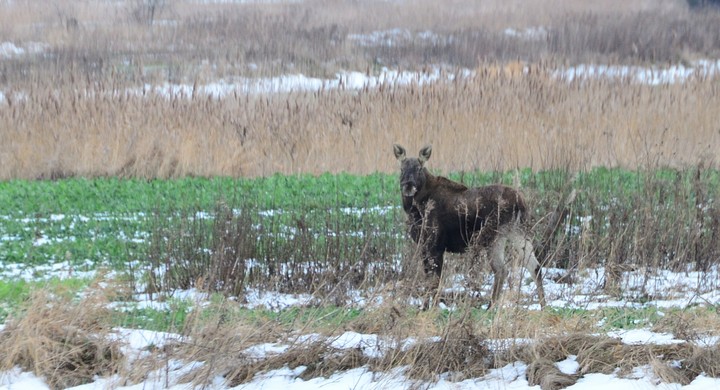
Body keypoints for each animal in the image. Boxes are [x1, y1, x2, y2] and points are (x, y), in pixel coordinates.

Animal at [394, 143, 544, 308]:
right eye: (401, 169)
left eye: (419, 168)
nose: (408, 186)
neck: (415, 209)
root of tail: (521, 202)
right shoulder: (425, 245)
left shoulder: (435, 244)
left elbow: (434, 280)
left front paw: (428, 308)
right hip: (516, 231)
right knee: (532, 267)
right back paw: (540, 306)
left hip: (492, 235)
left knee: (502, 269)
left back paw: (491, 307)